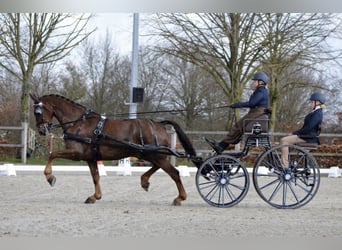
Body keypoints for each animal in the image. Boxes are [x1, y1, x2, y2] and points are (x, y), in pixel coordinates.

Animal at [29, 94, 202, 205]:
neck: (79, 123)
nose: (42, 131)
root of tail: (159, 124)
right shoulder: (90, 158)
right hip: (149, 154)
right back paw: (145, 181)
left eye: (38, 112)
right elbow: (96, 177)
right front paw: (95, 197)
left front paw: (50, 177)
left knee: (174, 173)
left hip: (154, 154)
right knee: (159, 167)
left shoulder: (76, 154)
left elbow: (52, 154)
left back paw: (180, 198)